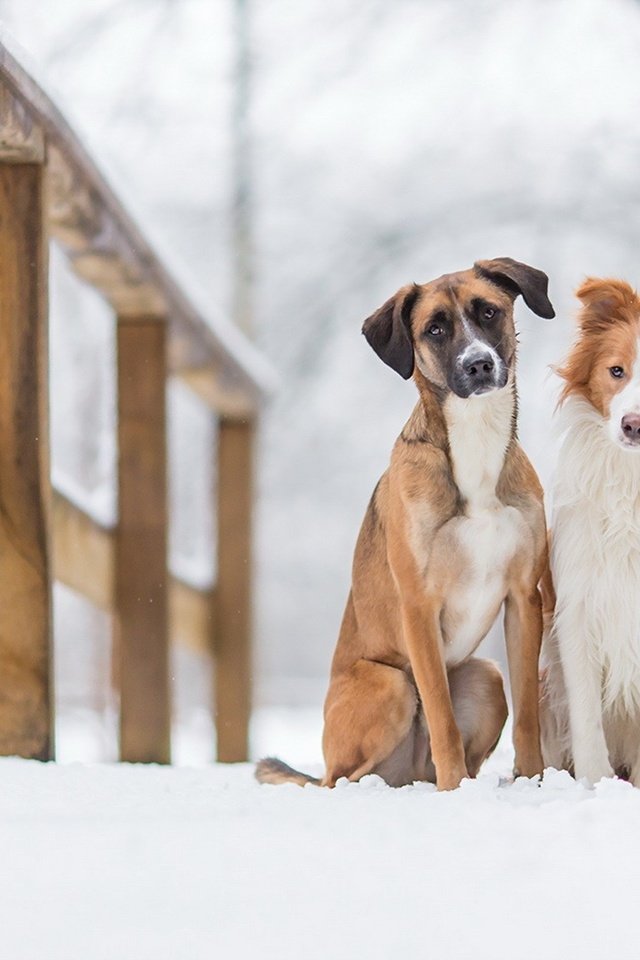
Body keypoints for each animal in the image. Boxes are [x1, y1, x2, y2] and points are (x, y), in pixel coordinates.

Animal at [258, 255, 552, 788]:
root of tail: (408, 774)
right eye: (435, 329)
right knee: (342, 779)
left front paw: (534, 783)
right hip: (390, 683)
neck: (475, 442)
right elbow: (440, 716)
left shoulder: (524, 598)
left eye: (489, 312)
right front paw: (456, 789)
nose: (479, 364)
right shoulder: (419, 606)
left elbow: (528, 716)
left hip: (484, 675)